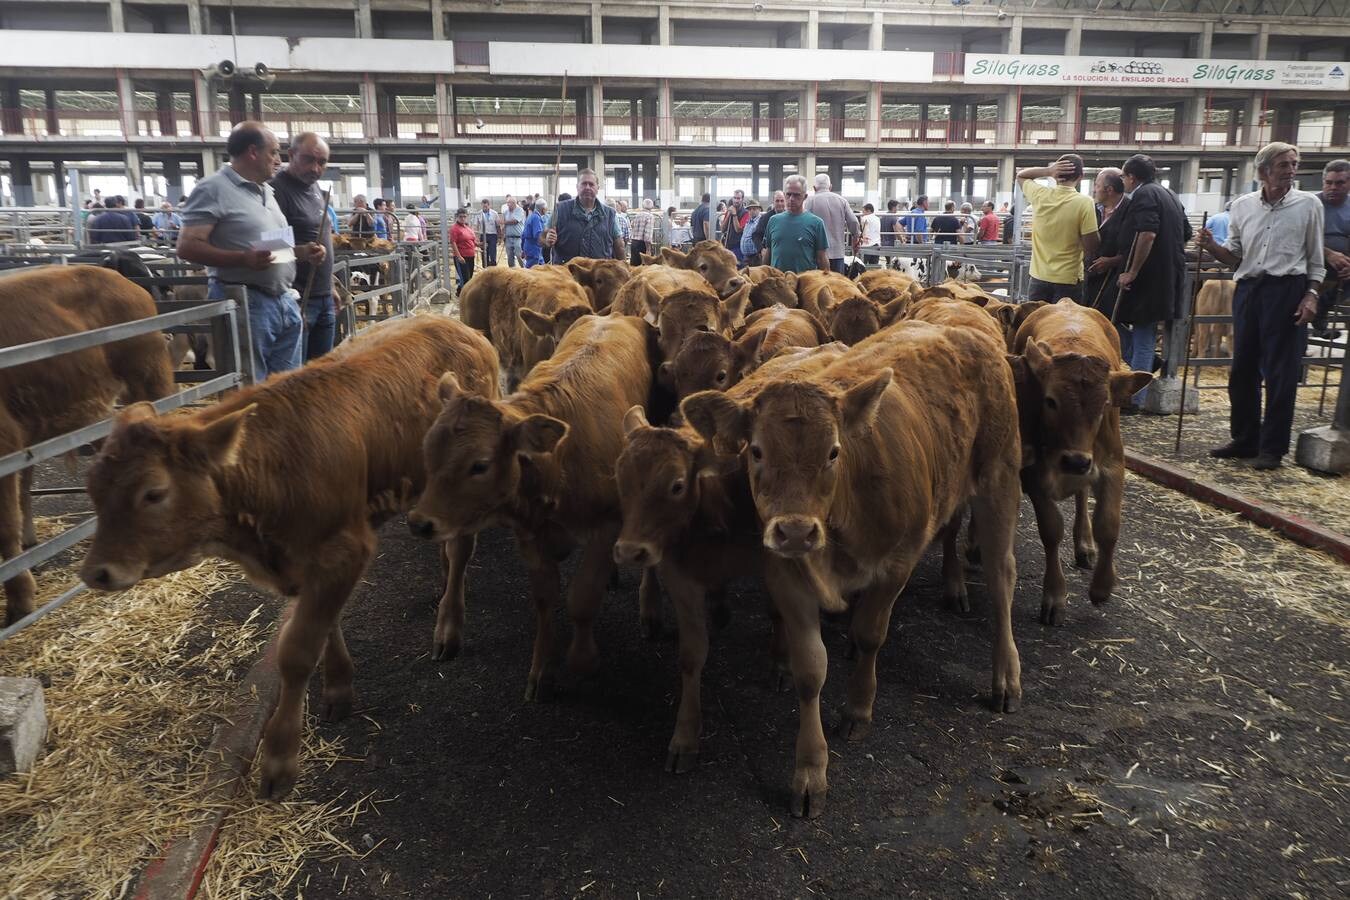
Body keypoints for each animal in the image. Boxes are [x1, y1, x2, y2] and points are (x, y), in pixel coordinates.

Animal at [80, 315, 502, 793]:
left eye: (154, 492)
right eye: (93, 488)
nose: (96, 572)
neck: (272, 466)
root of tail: (460, 327)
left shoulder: (344, 550)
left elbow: (297, 650)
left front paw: (280, 762)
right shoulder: (305, 565)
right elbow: (324, 627)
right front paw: (338, 689)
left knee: (463, 550)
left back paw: (449, 627)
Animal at [405, 315, 653, 696]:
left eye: (480, 465)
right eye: (427, 448)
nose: (419, 522)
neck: (557, 462)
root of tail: (609, 314)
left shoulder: (606, 523)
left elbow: (582, 597)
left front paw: (583, 660)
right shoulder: (531, 535)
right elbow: (544, 597)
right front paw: (542, 670)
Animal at [685, 319, 1020, 820]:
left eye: (833, 452)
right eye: (756, 451)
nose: (796, 531)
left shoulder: (898, 560)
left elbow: (870, 635)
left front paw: (859, 708)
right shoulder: (786, 574)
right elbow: (810, 670)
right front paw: (810, 771)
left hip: (1000, 479)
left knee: (1002, 580)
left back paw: (1006, 676)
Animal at [1015, 300, 1150, 626]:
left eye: (1104, 405)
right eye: (1050, 400)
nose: (1076, 461)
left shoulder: (1112, 465)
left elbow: (1108, 525)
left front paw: (1102, 586)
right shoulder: (1033, 472)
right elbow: (1051, 530)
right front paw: (1054, 596)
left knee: (1082, 495)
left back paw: (1085, 545)